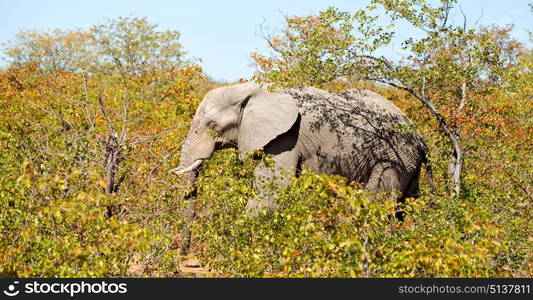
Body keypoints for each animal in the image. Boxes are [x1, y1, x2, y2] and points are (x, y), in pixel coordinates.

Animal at [175, 82, 432, 212]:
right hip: (409, 164)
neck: (253, 89)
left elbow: (272, 190)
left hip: (394, 158)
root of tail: (420, 137)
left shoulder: (288, 138)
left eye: (212, 126)